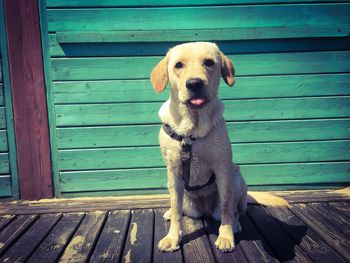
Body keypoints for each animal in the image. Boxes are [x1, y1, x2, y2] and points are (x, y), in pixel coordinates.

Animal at [150, 42, 246, 254]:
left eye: (209, 62)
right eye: (178, 65)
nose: (194, 83)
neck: (191, 129)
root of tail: (203, 209)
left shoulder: (223, 169)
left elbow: (227, 206)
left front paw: (226, 236)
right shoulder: (173, 172)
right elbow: (176, 210)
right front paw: (173, 237)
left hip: (236, 178)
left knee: (236, 210)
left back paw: (235, 224)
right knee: (178, 207)